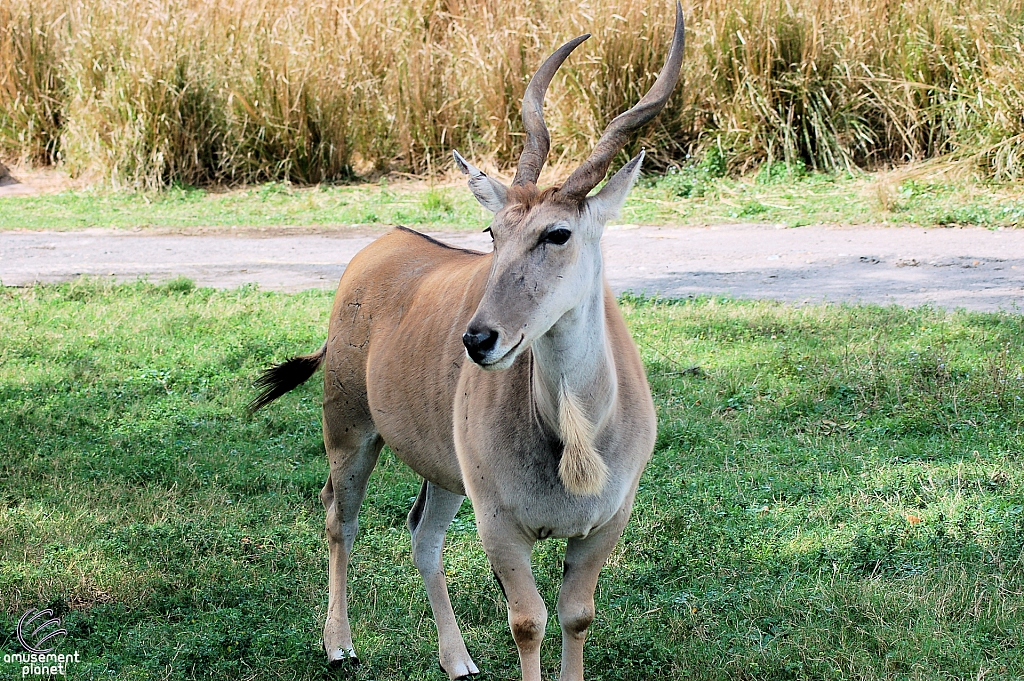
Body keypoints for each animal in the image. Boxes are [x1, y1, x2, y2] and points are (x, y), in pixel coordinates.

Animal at [250, 3, 684, 675]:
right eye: (492, 230)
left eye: (557, 233)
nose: (478, 339)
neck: (576, 434)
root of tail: (378, 247)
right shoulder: (499, 524)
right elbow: (528, 622)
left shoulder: (603, 524)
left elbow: (576, 616)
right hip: (349, 432)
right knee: (339, 519)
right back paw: (339, 642)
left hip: (445, 474)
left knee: (422, 536)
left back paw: (456, 659)